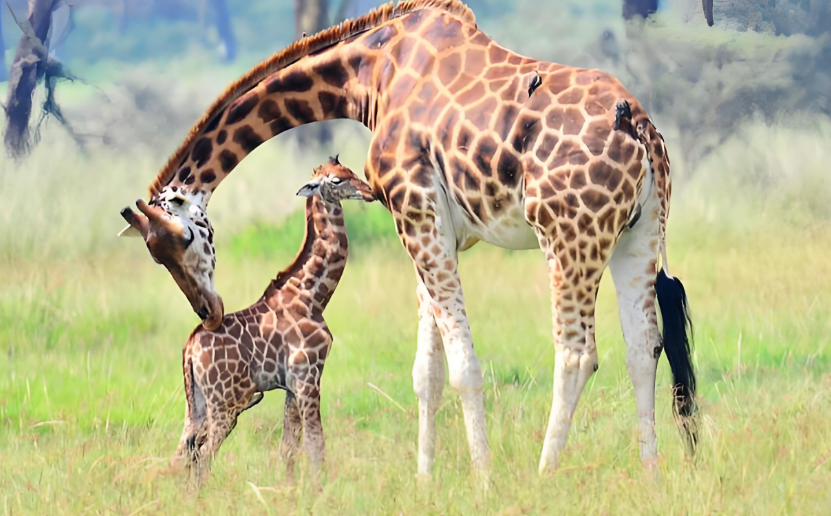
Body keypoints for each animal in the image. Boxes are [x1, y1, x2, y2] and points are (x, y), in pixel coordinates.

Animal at [172, 157, 374, 484]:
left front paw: (290, 490)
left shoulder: (291, 385)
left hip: (198, 403)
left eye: (351, 171)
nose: (370, 192)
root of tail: (190, 349)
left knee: (182, 454)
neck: (313, 296)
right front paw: (317, 491)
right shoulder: (308, 376)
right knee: (202, 455)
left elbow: (288, 449)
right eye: (335, 180)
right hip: (227, 403)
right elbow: (315, 445)